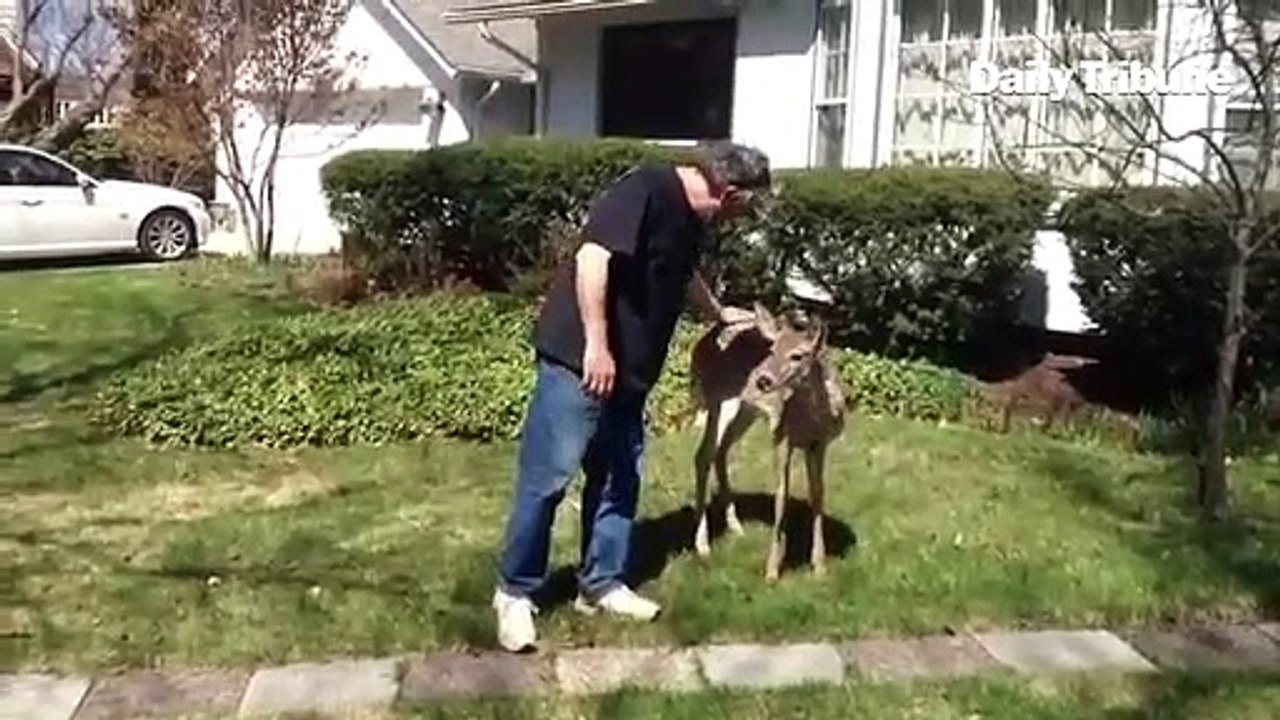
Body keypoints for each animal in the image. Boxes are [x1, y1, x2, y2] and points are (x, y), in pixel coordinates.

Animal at [689, 301, 848, 581]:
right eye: (772, 350)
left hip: (746, 410)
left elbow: (818, 493)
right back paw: (703, 544)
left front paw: (819, 565)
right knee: (703, 456)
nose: (762, 380)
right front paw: (773, 569)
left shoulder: (819, 443)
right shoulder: (781, 435)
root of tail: (700, 344)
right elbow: (781, 496)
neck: (813, 417)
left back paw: (736, 526)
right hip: (719, 400)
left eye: (798, 355)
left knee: (721, 452)